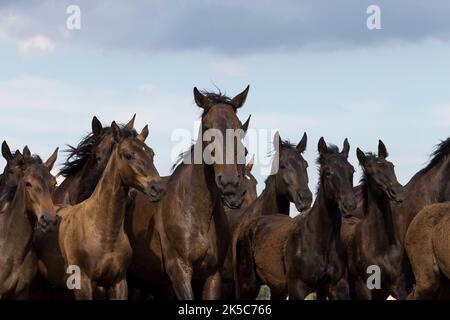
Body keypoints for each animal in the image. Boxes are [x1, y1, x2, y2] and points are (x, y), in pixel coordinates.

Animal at [34, 123, 165, 300]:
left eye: (152, 154)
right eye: (128, 155)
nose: (157, 188)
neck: (104, 233)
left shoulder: (119, 282)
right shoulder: (82, 283)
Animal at [236, 138, 356, 300]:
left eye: (352, 170)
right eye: (328, 172)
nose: (349, 205)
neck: (319, 240)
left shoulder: (334, 286)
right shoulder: (296, 288)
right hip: (248, 285)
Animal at [342, 141, 410, 298]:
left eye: (391, 166)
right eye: (370, 172)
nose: (398, 192)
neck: (380, 248)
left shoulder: (397, 286)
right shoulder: (363, 287)